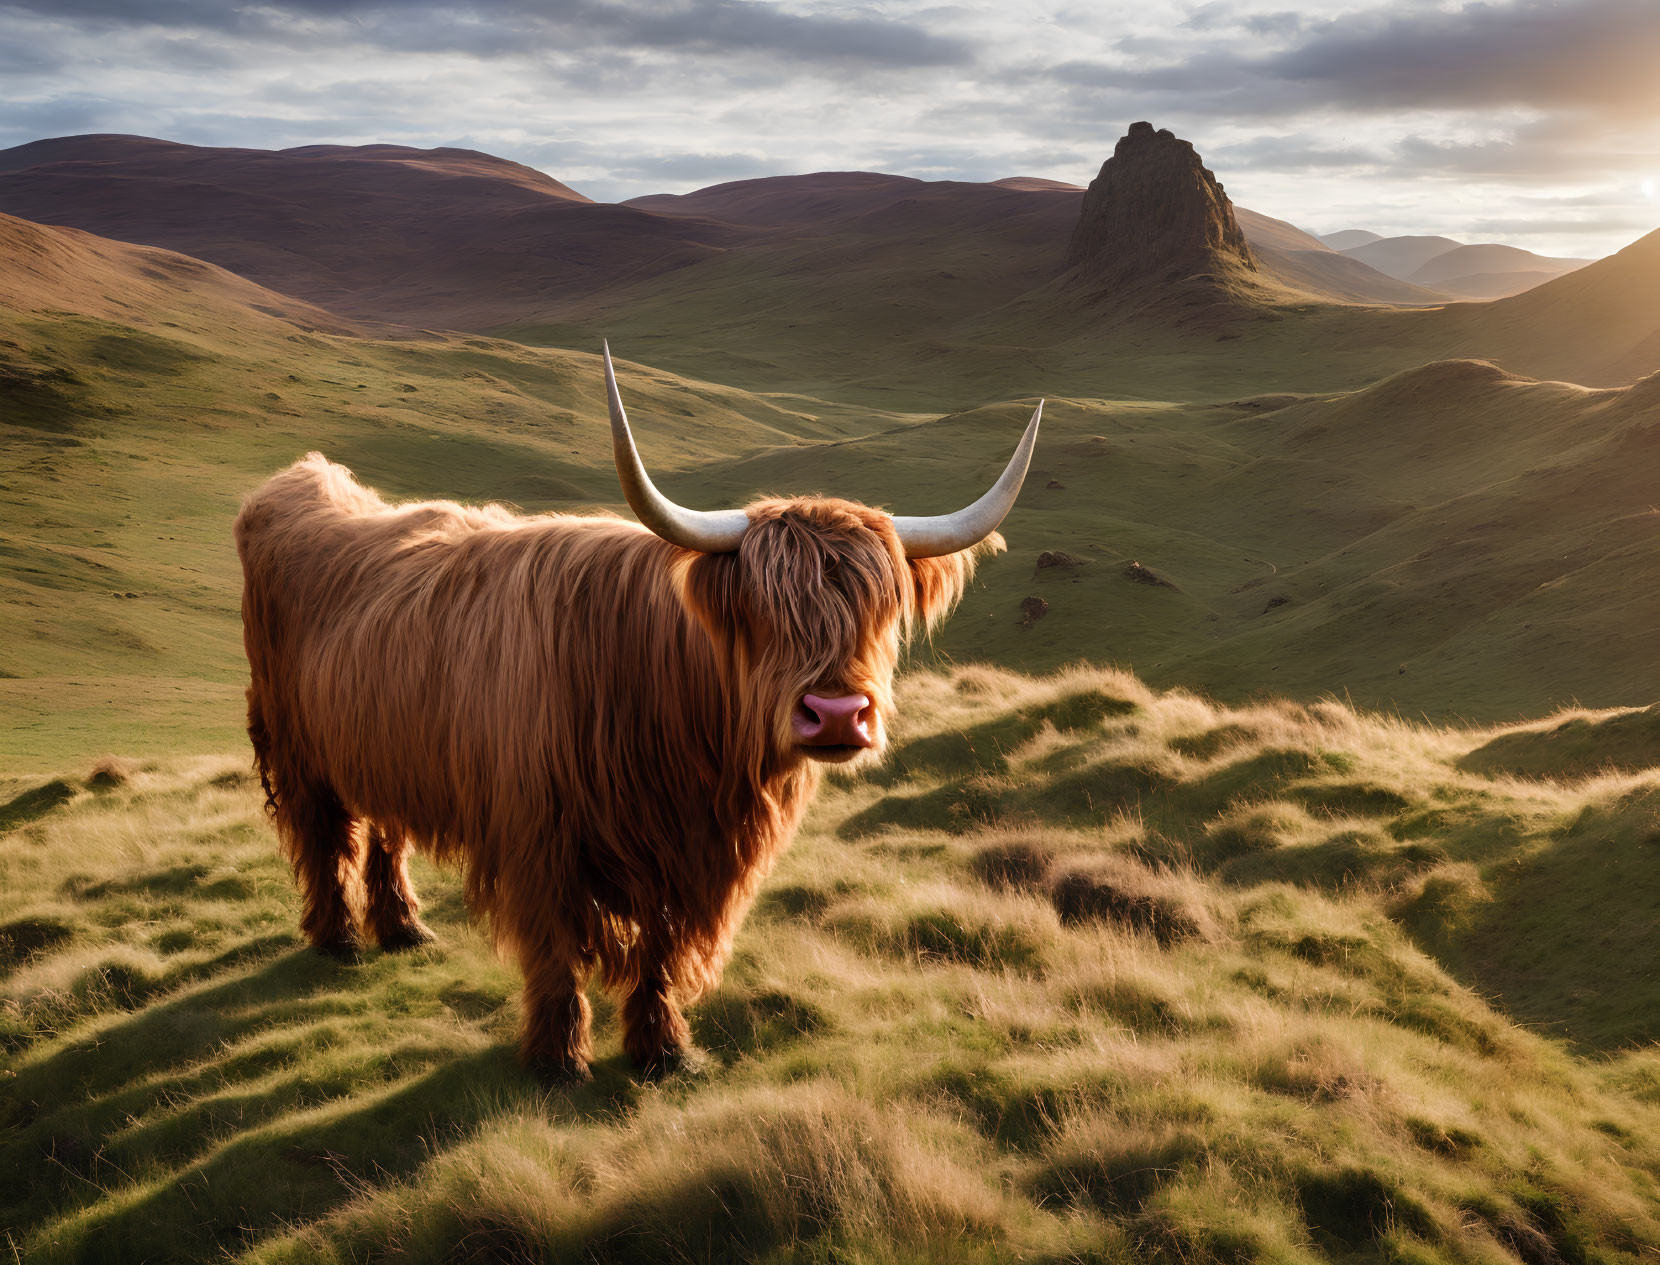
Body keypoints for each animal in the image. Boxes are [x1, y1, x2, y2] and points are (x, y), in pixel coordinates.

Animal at [234, 341, 1035, 1075]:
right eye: (761, 612)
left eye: (881, 609)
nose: (836, 714)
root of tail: (302, 479)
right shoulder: (539, 838)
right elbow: (556, 952)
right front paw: (558, 1059)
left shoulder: (687, 858)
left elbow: (661, 950)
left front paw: (663, 1048)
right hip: (296, 743)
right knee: (323, 835)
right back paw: (338, 939)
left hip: (382, 742)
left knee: (385, 829)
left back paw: (402, 926)